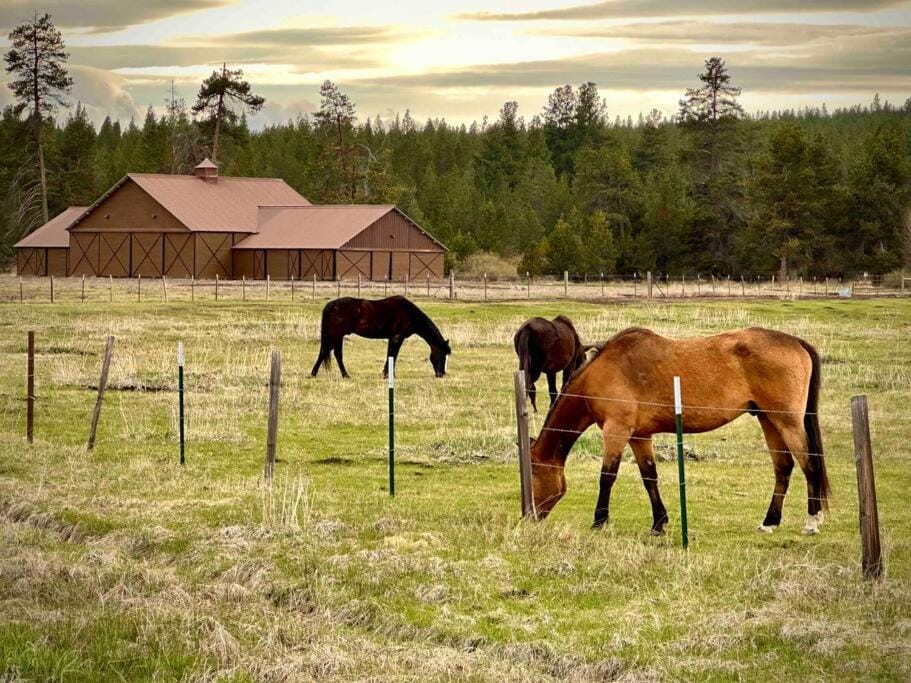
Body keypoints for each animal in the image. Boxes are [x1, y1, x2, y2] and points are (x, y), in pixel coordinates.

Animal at [310, 296, 451, 379]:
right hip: (336, 335)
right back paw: (339, 375)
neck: (409, 314)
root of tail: (331, 305)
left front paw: (386, 374)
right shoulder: (397, 338)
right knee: (332, 353)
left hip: (336, 336)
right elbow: (393, 355)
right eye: (443, 354)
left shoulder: (392, 338)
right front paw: (390, 375)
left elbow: (390, 355)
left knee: (328, 352)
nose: (441, 374)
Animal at [529, 326, 830, 537]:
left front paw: (599, 521)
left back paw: (812, 521)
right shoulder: (639, 436)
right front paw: (658, 523)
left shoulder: (616, 431)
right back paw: (770, 522)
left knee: (808, 464)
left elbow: (607, 477)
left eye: (531, 475)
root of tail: (796, 342)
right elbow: (649, 477)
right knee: (783, 467)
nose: (529, 516)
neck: (603, 373)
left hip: (787, 422)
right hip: (769, 421)